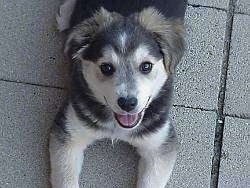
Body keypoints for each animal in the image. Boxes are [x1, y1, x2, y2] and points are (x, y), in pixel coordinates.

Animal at [49, 0, 187, 187]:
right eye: (106, 68)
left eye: (146, 66)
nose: (127, 103)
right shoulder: (69, 133)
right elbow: (66, 180)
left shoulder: (159, 144)